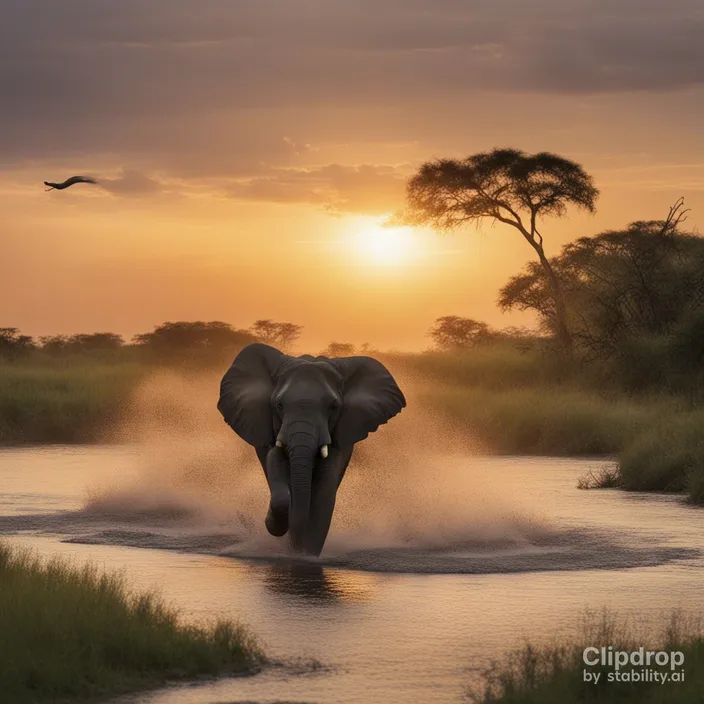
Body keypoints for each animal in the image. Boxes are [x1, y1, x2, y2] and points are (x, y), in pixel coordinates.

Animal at [216, 346, 408, 556]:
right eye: (279, 405)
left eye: (333, 406)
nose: (265, 521)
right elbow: (279, 475)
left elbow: (324, 492)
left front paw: (306, 556)